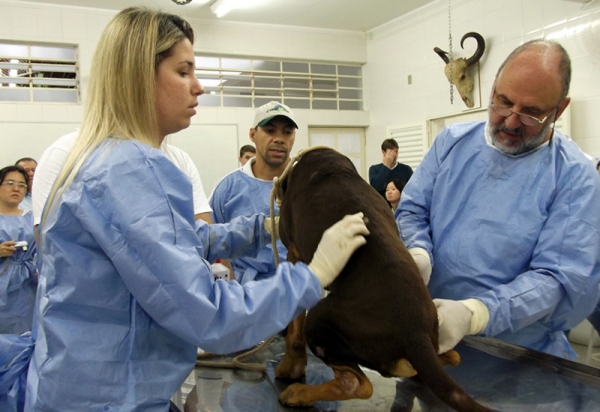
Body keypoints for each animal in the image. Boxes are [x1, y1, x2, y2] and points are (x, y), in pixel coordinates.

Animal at [274, 148, 490, 412]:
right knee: (451, 357)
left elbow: (295, 330)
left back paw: (299, 393)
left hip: (320, 318)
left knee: (358, 384)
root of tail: (416, 334)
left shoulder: (294, 256)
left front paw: (290, 367)